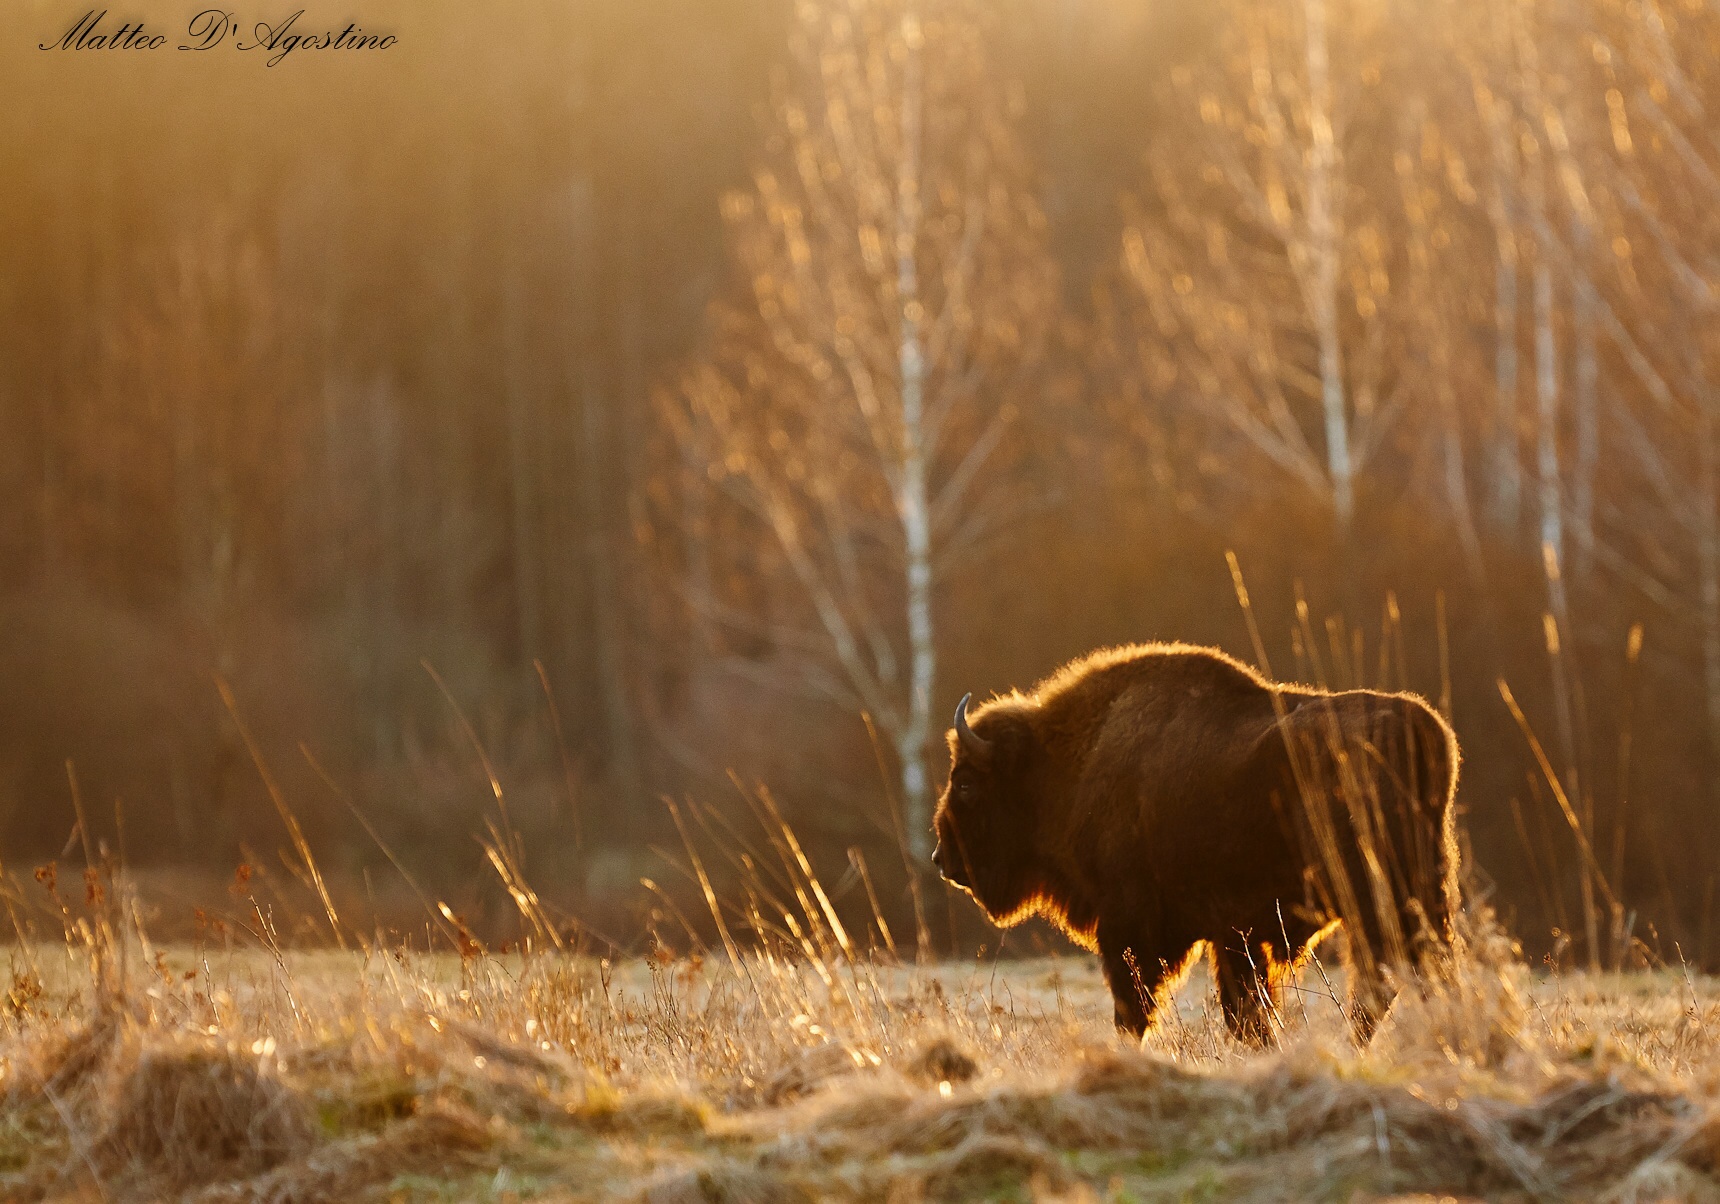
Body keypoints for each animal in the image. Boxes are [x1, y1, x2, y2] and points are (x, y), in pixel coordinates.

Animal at [931, 642, 1460, 1043]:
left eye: (966, 784)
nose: (942, 858)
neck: (1066, 764)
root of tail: (1418, 727)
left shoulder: (1131, 928)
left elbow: (1136, 1008)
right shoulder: (1231, 937)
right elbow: (1244, 1010)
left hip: (1375, 901)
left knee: (1381, 980)